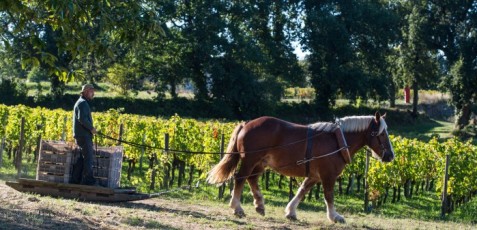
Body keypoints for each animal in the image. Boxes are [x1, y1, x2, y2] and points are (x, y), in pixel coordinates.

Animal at [206, 112, 392, 223]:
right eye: (382, 134)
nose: (390, 156)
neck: (337, 140)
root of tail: (246, 124)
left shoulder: (314, 176)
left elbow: (302, 191)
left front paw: (290, 212)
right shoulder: (328, 175)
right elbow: (329, 196)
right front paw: (334, 216)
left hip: (260, 163)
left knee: (252, 179)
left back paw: (259, 205)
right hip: (250, 160)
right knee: (240, 178)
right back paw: (237, 207)